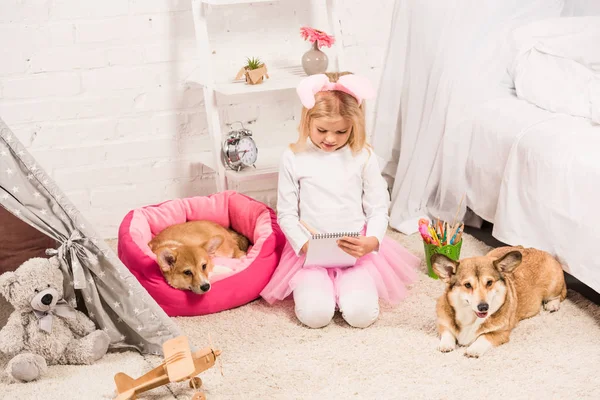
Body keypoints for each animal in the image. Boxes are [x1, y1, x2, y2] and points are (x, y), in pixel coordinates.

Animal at [432, 245, 568, 358]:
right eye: (467, 285)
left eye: (489, 282)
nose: (483, 307)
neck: (470, 318)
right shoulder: (442, 322)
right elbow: (447, 332)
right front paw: (446, 345)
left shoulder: (501, 333)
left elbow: (484, 337)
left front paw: (473, 350)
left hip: (552, 287)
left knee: (558, 295)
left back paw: (552, 305)